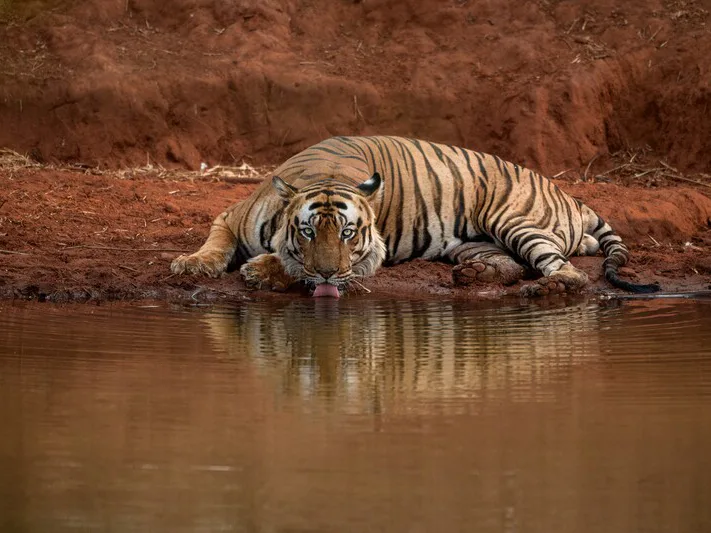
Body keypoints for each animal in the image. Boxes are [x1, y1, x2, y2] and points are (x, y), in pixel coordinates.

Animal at [171, 135, 661, 297]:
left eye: (349, 234)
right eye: (307, 231)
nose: (328, 275)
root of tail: (570, 195)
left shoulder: (366, 256)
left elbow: (299, 269)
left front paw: (262, 271)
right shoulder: (229, 216)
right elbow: (214, 244)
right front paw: (191, 264)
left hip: (513, 219)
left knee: (567, 272)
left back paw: (546, 288)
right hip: (475, 242)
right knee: (513, 264)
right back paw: (475, 276)